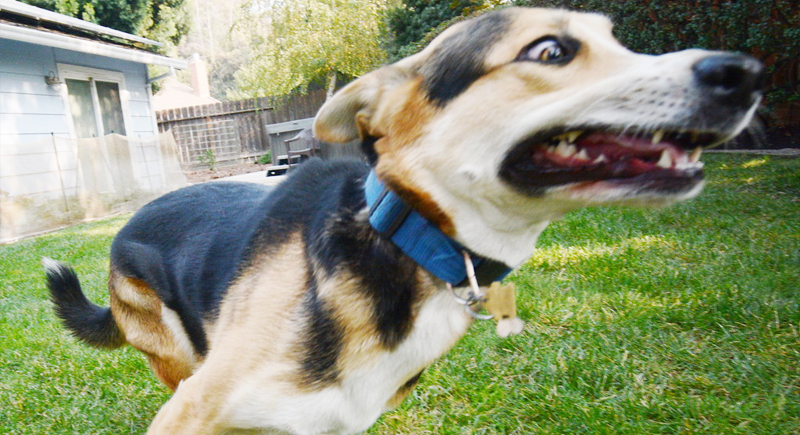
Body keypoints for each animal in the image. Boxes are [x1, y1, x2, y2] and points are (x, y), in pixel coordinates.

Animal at [45, 7, 763, 435]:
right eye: (551, 51)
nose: (744, 73)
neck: (403, 241)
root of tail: (124, 227)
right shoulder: (190, 412)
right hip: (177, 355)